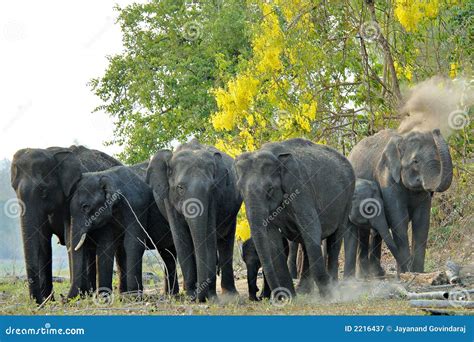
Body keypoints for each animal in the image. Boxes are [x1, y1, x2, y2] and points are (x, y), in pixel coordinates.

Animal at [10, 146, 121, 304]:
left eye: (43, 191)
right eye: (14, 189)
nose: (38, 302)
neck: (52, 153)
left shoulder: (73, 197)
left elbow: (70, 239)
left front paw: (72, 298)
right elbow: (43, 243)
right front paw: (48, 300)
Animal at [69, 166, 181, 300]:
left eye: (85, 207)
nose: (65, 300)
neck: (108, 175)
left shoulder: (136, 206)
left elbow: (132, 243)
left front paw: (134, 297)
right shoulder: (108, 218)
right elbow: (107, 246)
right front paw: (105, 298)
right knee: (168, 254)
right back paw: (171, 295)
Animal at [146, 139, 243, 302]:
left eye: (211, 188)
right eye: (180, 188)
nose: (199, 297)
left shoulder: (214, 200)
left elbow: (208, 237)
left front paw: (210, 296)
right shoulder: (168, 199)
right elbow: (181, 239)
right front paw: (191, 295)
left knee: (225, 241)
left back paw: (230, 294)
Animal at [234, 138, 356, 296]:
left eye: (270, 189)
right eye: (240, 190)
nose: (278, 297)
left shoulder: (300, 187)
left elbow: (312, 228)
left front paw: (328, 295)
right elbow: (272, 239)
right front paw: (290, 297)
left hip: (347, 198)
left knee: (334, 239)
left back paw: (332, 288)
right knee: (306, 244)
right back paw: (304, 291)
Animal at [350, 128, 454, 272]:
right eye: (415, 161)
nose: (436, 130)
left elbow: (421, 222)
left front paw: (417, 272)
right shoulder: (387, 179)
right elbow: (399, 220)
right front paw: (407, 273)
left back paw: (377, 273)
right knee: (365, 231)